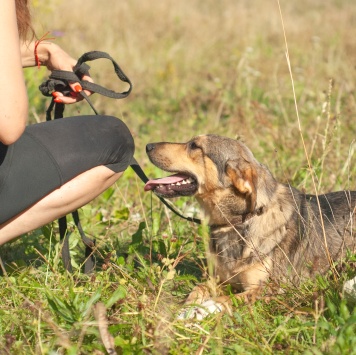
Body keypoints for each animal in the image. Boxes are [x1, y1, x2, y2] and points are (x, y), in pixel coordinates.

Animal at [145, 135, 356, 318]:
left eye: (195, 146)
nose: (148, 146)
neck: (236, 223)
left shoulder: (270, 289)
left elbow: (228, 299)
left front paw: (205, 309)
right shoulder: (222, 279)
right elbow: (199, 288)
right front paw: (188, 308)